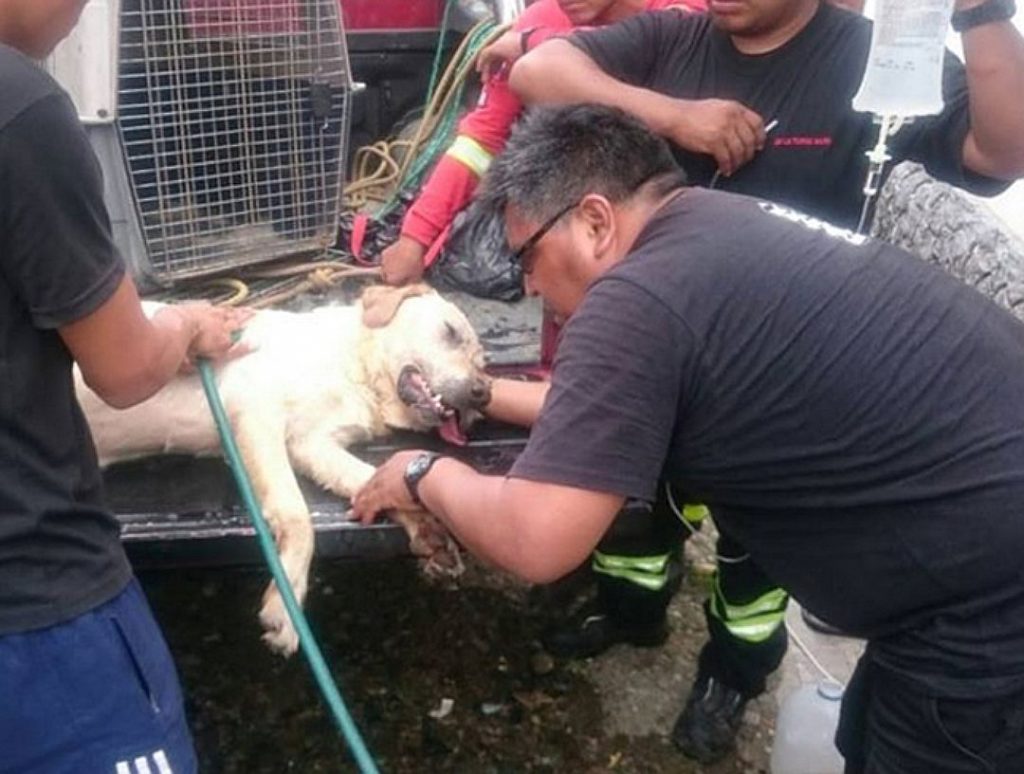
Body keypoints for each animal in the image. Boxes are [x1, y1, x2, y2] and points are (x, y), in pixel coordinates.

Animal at [77, 282, 485, 651]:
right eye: (451, 332)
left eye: (483, 362)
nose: (483, 393)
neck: (354, 368)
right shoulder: (257, 418)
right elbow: (298, 515)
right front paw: (286, 608)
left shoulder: (312, 443)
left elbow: (372, 479)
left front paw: (429, 532)